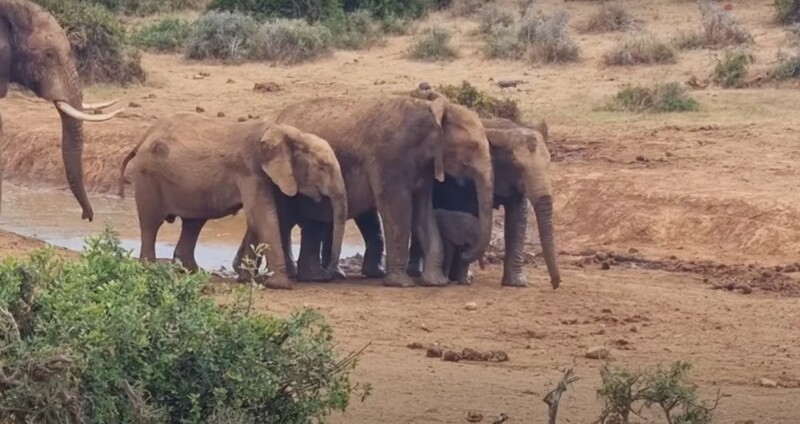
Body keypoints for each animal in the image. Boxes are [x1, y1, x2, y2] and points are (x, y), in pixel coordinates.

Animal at [117, 112, 348, 292]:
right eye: (321, 167)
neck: (285, 132)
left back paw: (191, 271)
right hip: (148, 177)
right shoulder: (250, 169)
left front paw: (248, 280)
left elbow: (257, 220)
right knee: (151, 223)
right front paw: (280, 285)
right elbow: (263, 217)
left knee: (194, 223)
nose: (332, 274)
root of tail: (144, 137)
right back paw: (149, 268)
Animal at [234, 94, 494, 288]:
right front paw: (402, 284)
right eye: (471, 146)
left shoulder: (425, 168)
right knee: (286, 220)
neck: (429, 109)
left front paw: (435, 283)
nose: (468, 258)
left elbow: (423, 214)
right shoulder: (390, 158)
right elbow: (398, 210)